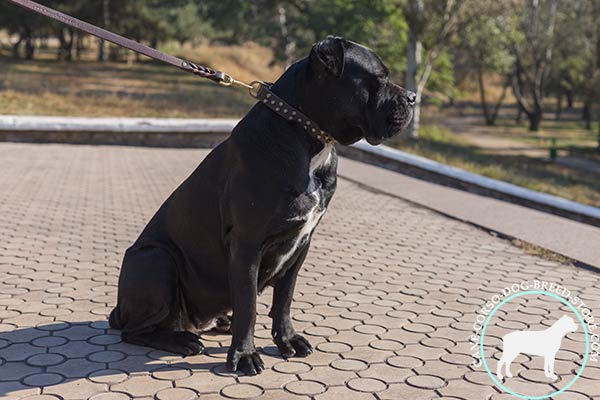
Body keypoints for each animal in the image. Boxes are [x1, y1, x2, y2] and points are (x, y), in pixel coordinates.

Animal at [109, 35, 412, 376]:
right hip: (156, 259)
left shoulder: (302, 243)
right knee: (136, 330)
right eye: (380, 79)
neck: (308, 135)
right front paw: (243, 355)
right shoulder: (247, 244)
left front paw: (287, 340)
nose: (413, 97)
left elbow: (284, 298)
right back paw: (181, 340)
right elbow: (249, 305)